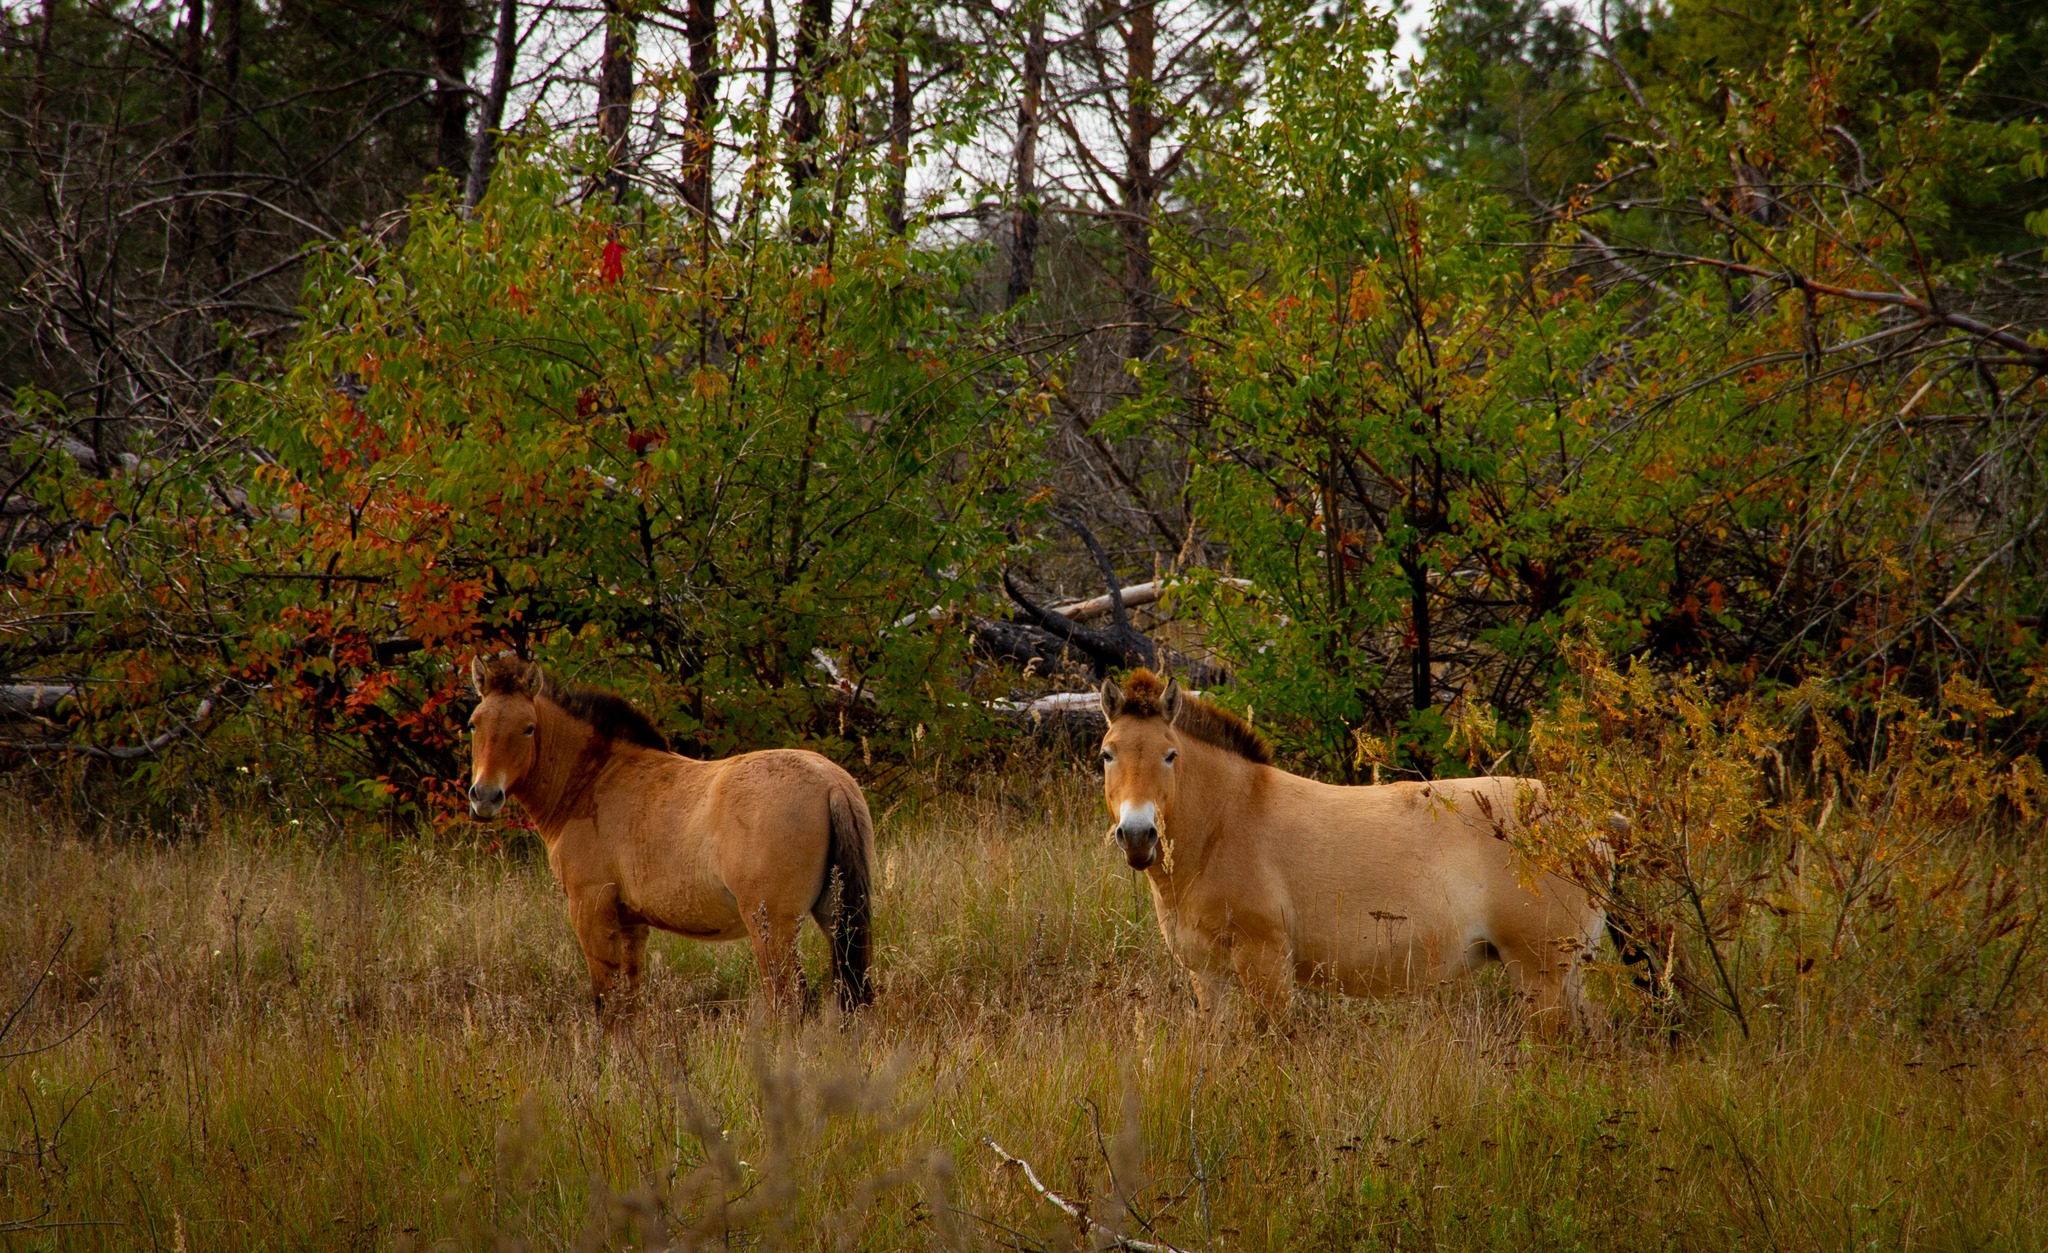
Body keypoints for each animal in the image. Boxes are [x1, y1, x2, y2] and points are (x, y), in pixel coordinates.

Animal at [468, 655, 876, 1019]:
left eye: (528, 727)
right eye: (474, 724)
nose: (485, 796)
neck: (594, 780)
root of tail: (833, 782)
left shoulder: (590, 911)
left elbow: (606, 1005)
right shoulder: (631, 925)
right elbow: (627, 1007)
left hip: (773, 927)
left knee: (790, 1002)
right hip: (835, 918)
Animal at [1097, 671, 1605, 1031]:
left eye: (1170, 755)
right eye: (1107, 754)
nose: (1138, 835)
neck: (1226, 821)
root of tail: (1585, 821)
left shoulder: (1266, 966)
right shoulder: (1206, 975)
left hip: (1538, 974)